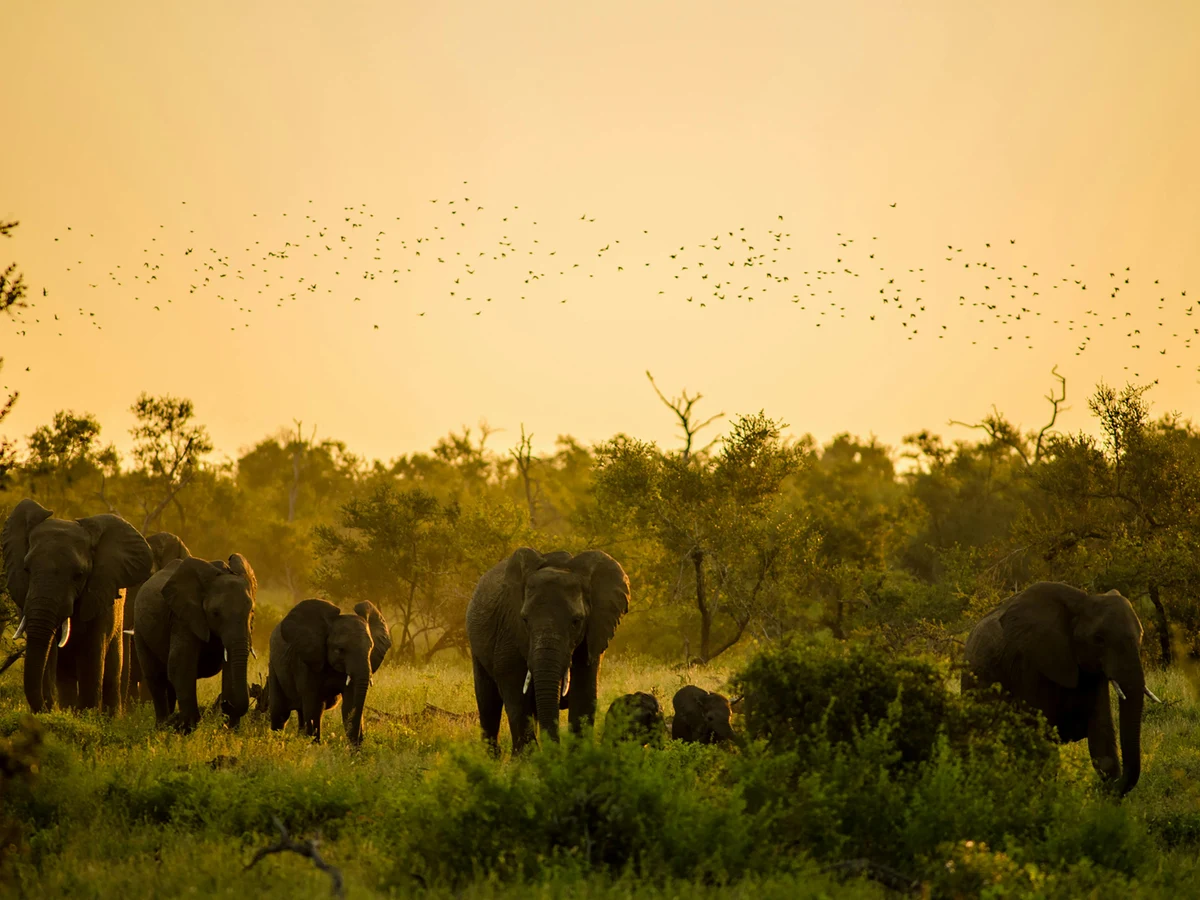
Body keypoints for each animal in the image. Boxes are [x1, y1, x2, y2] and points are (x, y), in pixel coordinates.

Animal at [2, 499, 152, 714]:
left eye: (79, 575)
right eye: (26, 569)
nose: (47, 708)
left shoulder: (99, 595)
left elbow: (91, 654)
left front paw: (88, 715)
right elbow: (49, 654)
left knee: (111, 672)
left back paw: (109, 717)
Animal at [133, 554, 257, 732]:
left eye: (251, 611)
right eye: (215, 613)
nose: (225, 704)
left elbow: (230, 669)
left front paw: (231, 730)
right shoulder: (183, 617)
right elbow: (181, 664)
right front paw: (187, 728)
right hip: (139, 629)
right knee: (155, 677)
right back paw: (163, 726)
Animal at [267, 598, 392, 745]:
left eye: (371, 648)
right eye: (340, 650)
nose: (359, 742)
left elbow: (349, 705)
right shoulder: (306, 662)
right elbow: (313, 706)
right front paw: (314, 746)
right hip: (273, 666)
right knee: (280, 713)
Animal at [466, 547, 629, 753]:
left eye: (576, 621)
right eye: (525, 620)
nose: (555, 751)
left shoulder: (592, 635)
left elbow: (583, 695)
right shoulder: (509, 631)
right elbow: (516, 696)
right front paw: (529, 758)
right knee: (488, 703)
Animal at [963, 581, 1160, 796]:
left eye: (1141, 635)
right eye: (1098, 639)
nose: (1105, 789)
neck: (1082, 602)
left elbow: (1101, 733)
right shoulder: (1029, 665)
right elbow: (1039, 741)